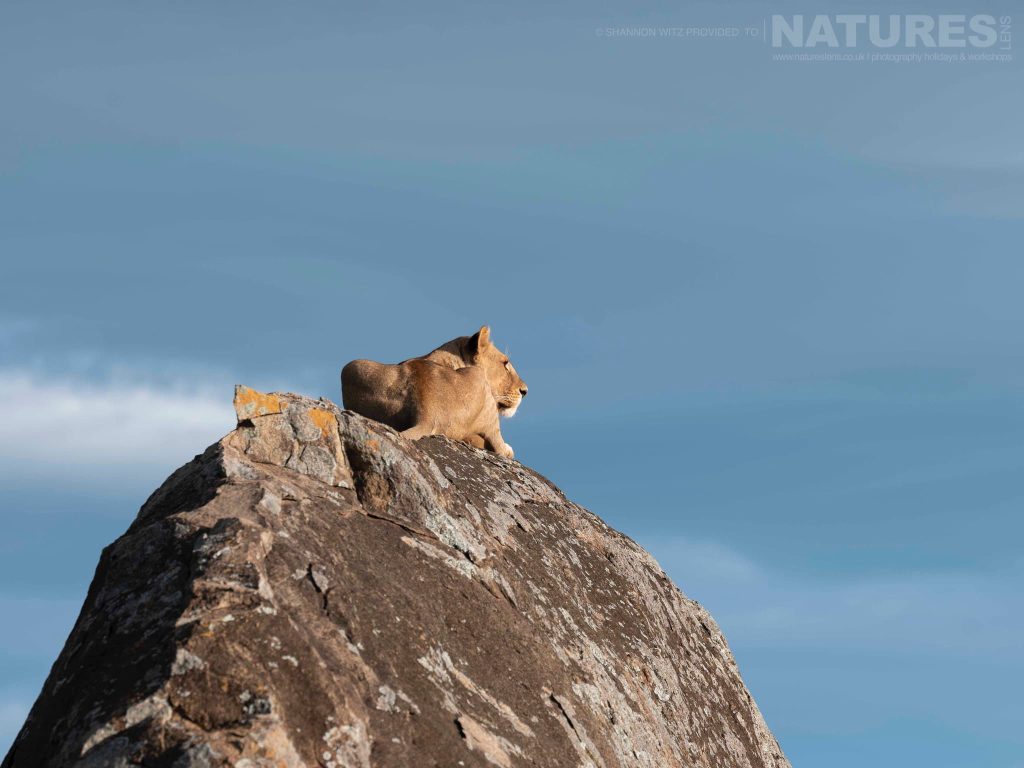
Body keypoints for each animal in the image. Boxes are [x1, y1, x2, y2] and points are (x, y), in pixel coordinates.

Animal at [340, 326, 528, 458]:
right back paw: (506, 449)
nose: (525, 391)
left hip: (352, 367)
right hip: (481, 386)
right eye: (505, 363)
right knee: (496, 440)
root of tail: (426, 413)